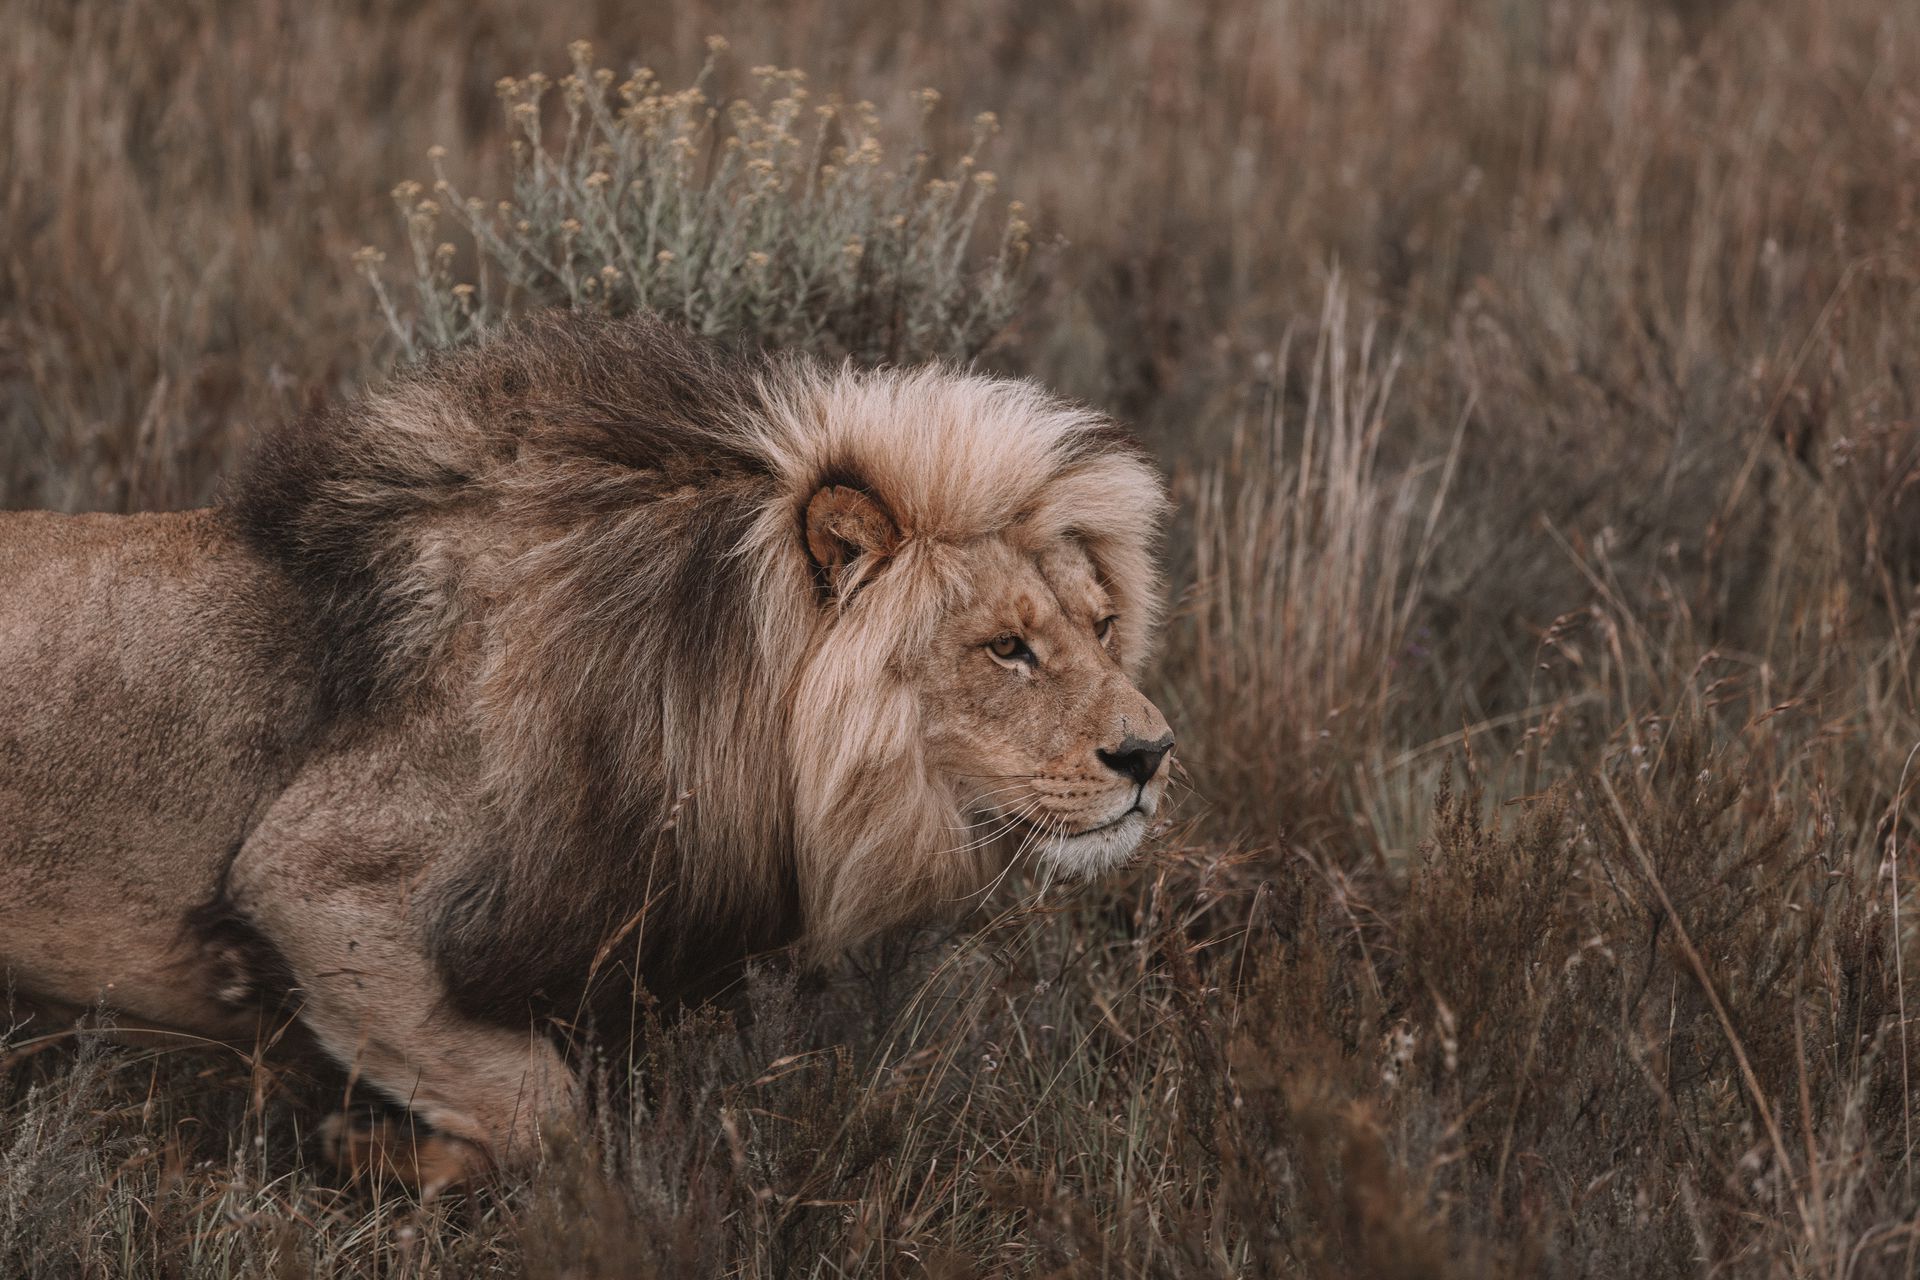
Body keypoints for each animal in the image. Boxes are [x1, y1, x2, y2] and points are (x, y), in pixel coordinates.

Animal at [0, 312, 1174, 1191]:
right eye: (1008, 648)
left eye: (1102, 624)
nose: (1152, 753)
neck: (706, 689)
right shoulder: (314, 886)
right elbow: (545, 1109)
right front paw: (367, 1152)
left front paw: (377, 1152)